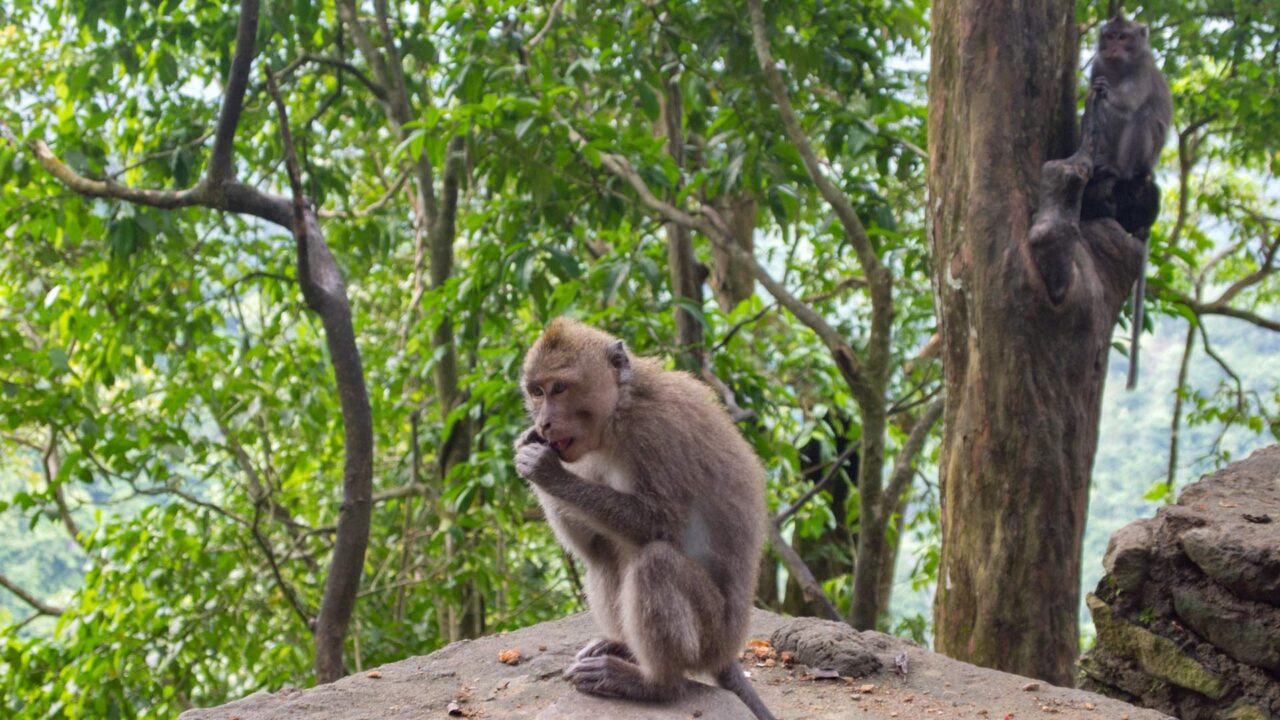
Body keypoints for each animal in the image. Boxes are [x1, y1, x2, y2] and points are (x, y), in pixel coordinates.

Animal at [512, 317, 773, 717]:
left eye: (559, 388)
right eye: (537, 392)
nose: (543, 424)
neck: (620, 412)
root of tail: (728, 651)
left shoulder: (657, 433)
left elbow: (663, 524)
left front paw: (546, 471)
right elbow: (592, 544)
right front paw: (528, 446)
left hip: (710, 635)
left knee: (656, 562)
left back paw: (652, 683)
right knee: (605, 557)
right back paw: (621, 646)